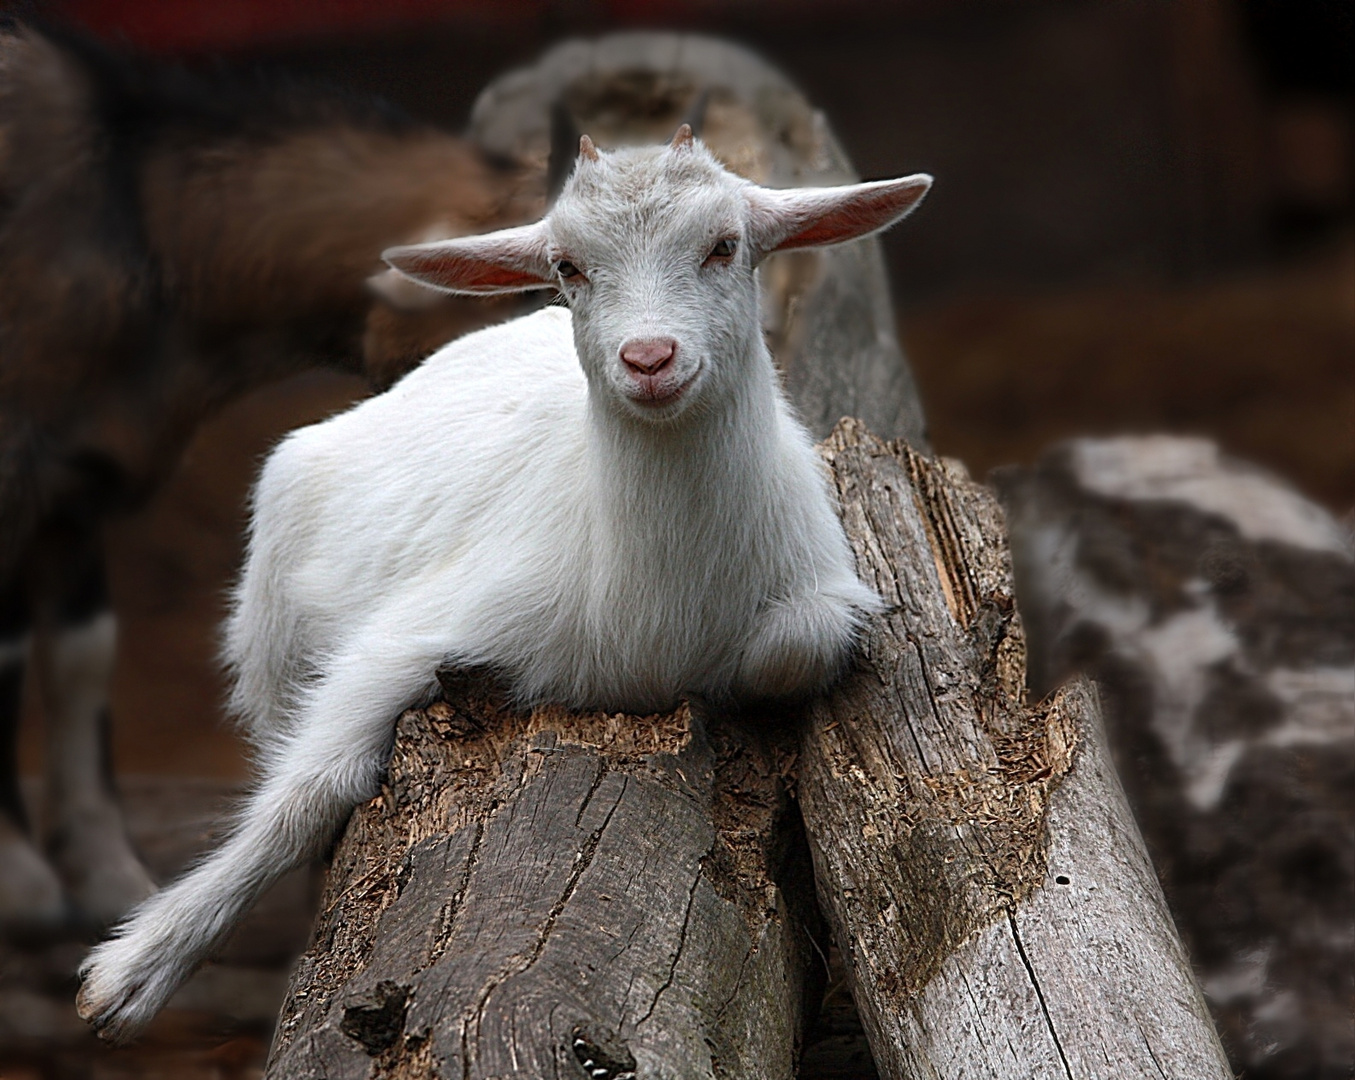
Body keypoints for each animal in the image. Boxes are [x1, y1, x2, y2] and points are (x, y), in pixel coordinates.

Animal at [71, 128, 921, 1046]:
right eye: (567, 266)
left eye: (724, 245)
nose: (648, 360)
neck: (652, 609)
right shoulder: (414, 631)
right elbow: (311, 788)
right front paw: (129, 977)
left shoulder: (825, 592)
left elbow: (795, 645)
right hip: (267, 611)